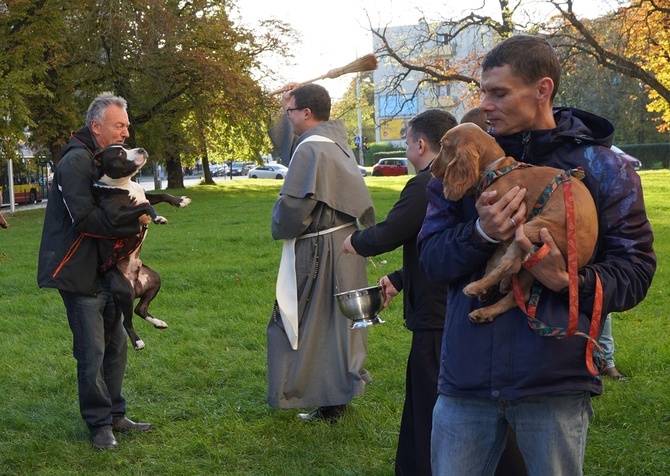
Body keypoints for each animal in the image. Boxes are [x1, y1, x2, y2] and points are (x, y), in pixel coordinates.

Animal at [92, 144, 192, 350]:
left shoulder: (144, 194)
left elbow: (160, 195)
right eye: (120, 153)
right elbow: (145, 206)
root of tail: (134, 283)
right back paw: (137, 341)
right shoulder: (115, 217)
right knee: (127, 321)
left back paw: (158, 322)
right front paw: (158, 217)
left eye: (126, 146)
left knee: (140, 309)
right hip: (125, 292)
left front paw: (180, 201)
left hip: (154, 280)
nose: (141, 149)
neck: (122, 184)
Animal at [434, 122, 600, 324]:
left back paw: (476, 287)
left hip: (532, 228)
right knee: (521, 293)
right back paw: (486, 309)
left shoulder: (511, 228)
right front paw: (491, 288)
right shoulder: (502, 234)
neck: (496, 171)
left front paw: (488, 285)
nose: (430, 168)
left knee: (511, 264)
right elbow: (492, 259)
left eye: (443, 145)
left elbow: (499, 260)